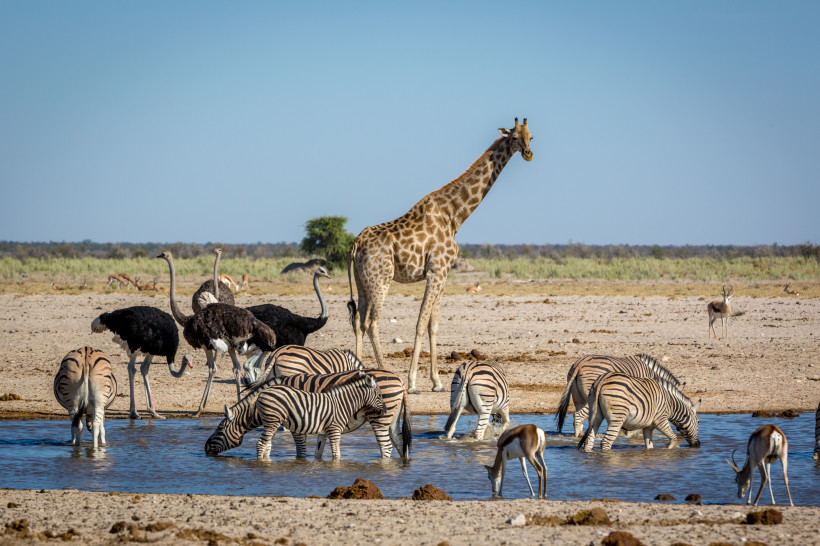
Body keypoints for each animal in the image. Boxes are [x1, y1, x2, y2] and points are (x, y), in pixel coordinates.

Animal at [205, 370, 385, 460]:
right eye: (379, 396)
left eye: (220, 429)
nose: (205, 448)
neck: (341, 402)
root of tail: (263, 395)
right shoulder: (332, 429)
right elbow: (334, 453)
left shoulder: (325, 430)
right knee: (261, 444)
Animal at [347, 118, 534, 393]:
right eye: (513, 138)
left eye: (531, 136)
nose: (529, 153)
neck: (454, 215)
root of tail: (356, 244)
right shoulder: (436, 271)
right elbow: (421, 321)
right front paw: (413, 381)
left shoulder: (442, 274)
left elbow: (433, 325)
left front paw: (437, 382)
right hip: (381, 279)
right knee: (372, 322)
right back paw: (386, 373)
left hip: (362, 282)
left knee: (359, 321)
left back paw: (359, 373)